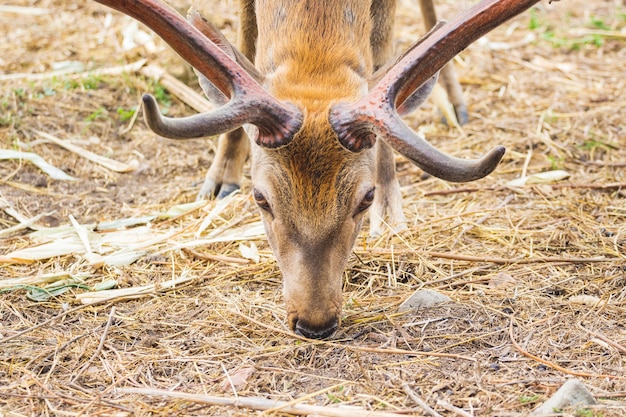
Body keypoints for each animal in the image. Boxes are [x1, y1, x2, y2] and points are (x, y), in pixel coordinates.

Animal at [94, 0, 540, 338]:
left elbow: (381, 54)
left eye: (366, 197)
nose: (314, 322)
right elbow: (245, 40)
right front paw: (221, 177)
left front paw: (390, 216)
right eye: (261, 197)